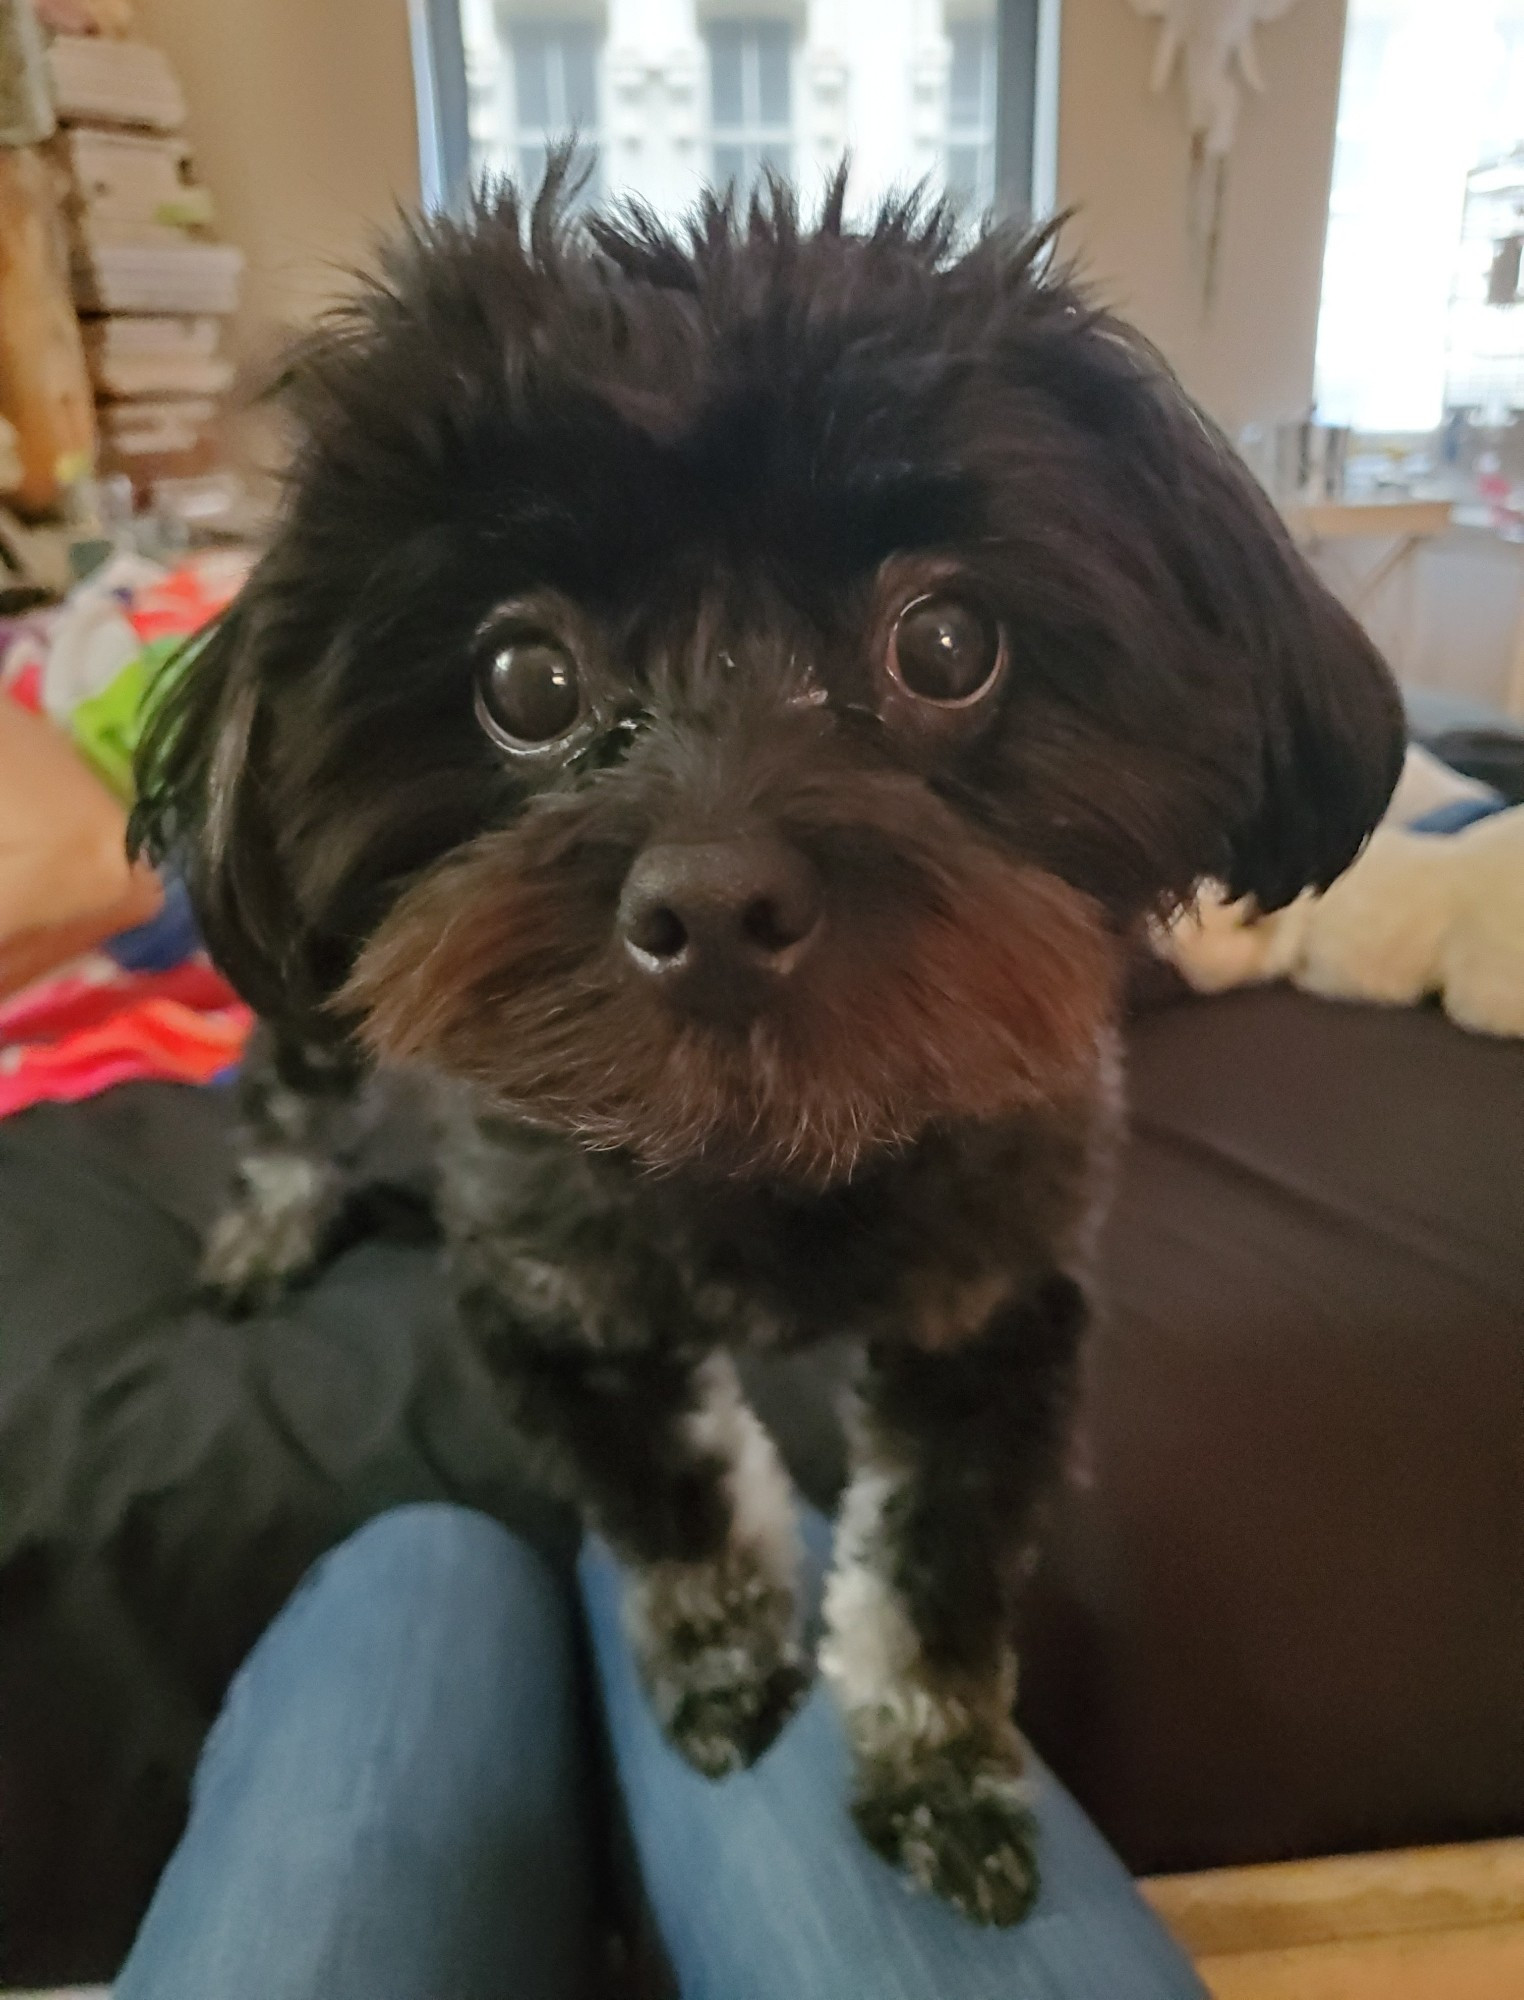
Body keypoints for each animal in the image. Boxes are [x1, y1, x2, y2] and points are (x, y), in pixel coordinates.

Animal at [134, 172, 1400, 1920]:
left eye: (946, 644)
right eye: (525, 676)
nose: (715, 898)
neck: (767, 1157)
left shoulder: (993, 1310)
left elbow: (935, 1571)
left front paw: (938, 1768)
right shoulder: (555, 1301)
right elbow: (672, 1503)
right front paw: (725, 1666)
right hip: (314, 1005)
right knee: (289, 1098)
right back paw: (267, 1229)